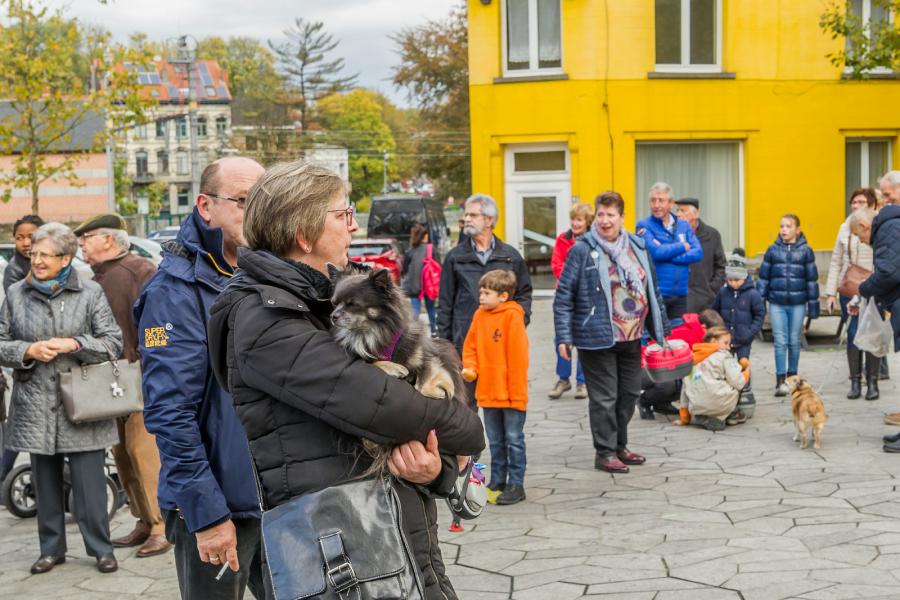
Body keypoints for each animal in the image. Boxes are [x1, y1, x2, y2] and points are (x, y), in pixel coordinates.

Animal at [326, 264, 464, 472]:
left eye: (352, 304)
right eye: (334, 304)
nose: (333, 316)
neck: (370, 333)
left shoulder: (431, 358)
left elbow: (422, 385)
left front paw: (438, 391)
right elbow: (371, 362)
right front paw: (392, 367)